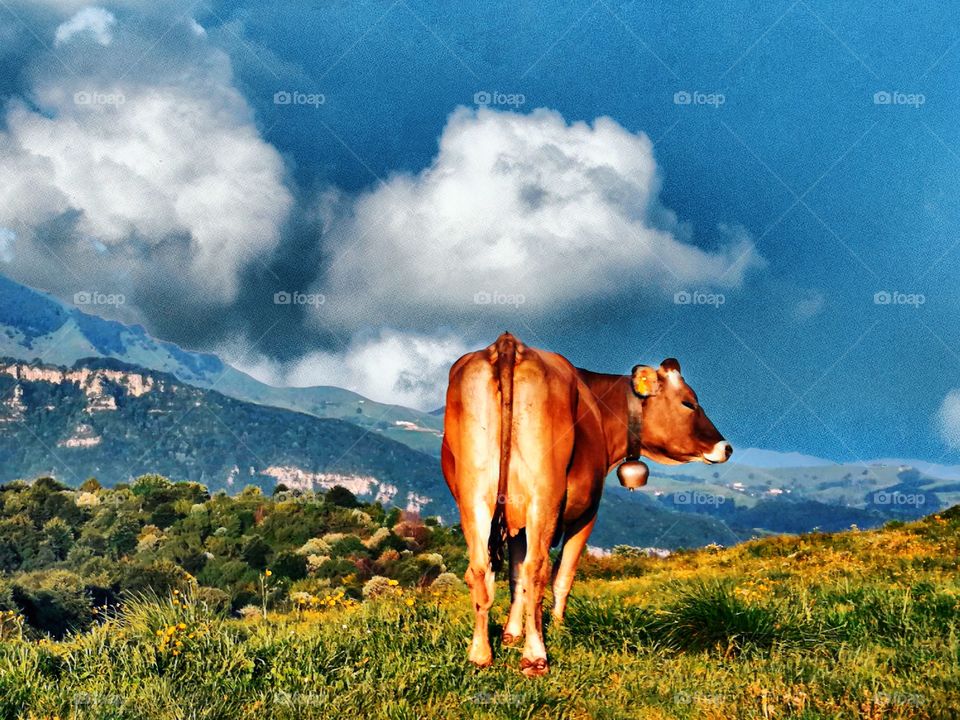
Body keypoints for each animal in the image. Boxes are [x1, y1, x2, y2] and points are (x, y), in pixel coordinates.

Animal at [441, 331, 731, 676]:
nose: (726, 447)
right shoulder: (587, 513)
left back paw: (480, 654)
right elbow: (562, 576)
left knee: (481, 569)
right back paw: (535, 657)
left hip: (474, 498)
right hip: (543, 495)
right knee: (538, 569)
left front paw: (511, 634)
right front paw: (557, 628)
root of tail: (507, 343)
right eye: (688, 402)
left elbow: (515, 577)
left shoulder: (518, 523)